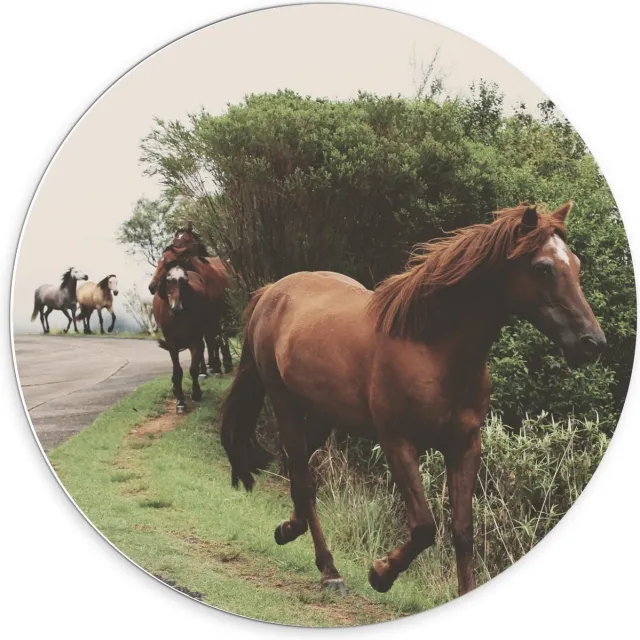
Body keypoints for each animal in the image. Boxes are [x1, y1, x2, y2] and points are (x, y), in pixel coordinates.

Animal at [148, 229, 234, 375]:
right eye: (175, 240)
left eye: (168, 263)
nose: (152, 286)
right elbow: (206, 341)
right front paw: (204, 369)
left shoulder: (212, 316)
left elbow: (212, 339)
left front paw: (215, 366)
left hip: (223, 313)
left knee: (222, 335)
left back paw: (226, 363)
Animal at [153, 262, 208, 413]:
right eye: (168, 280)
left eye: (185, 281)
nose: (176, 308)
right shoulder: (172, 343)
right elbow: (177, 371)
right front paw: (180, 401)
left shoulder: (196, 340)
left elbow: (193, 369)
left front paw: (196, 393)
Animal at [220, 202, 606, 597]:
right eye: (543, 268)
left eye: (575, 263)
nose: (592, 342)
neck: (431, 348)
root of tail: (273, 291)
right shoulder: (398, 443)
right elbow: (424, 526)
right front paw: (380, 573)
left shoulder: (465, 446)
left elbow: (462, 532)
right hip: (286, 404)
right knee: (304, 479)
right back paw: (329, 570)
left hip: (323, 415)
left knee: (295, 470)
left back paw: (289, 530)